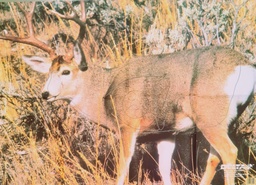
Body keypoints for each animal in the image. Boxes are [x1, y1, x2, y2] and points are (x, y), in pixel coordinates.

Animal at [0, 1, 256, 185]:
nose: (45, 94)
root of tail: (244, 66)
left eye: (65, 71)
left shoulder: (127, 124)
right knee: (215, 155)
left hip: (209, 115)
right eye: (48, 72)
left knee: (229, 152)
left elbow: (122, 170)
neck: (105, 90)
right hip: (224, 119)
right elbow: (164, 170)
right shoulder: (164, 132)